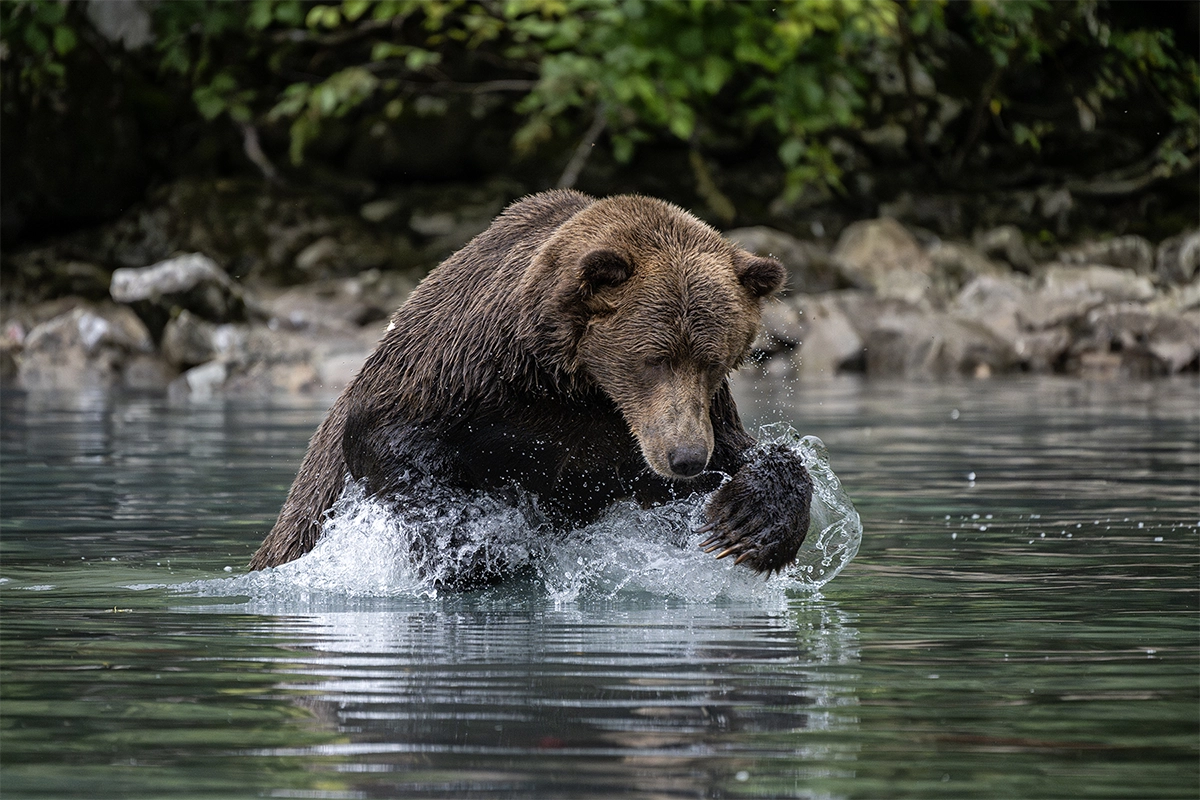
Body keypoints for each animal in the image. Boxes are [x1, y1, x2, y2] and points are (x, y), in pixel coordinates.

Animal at [249, 190, 813, 589]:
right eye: (654, 359)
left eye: (713, 361)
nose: (687, 457)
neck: (574, 383)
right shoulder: (469, 373)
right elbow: (391, 440)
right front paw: (480, 550)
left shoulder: (653, 429)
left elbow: (747, 457)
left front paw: (744, 523)